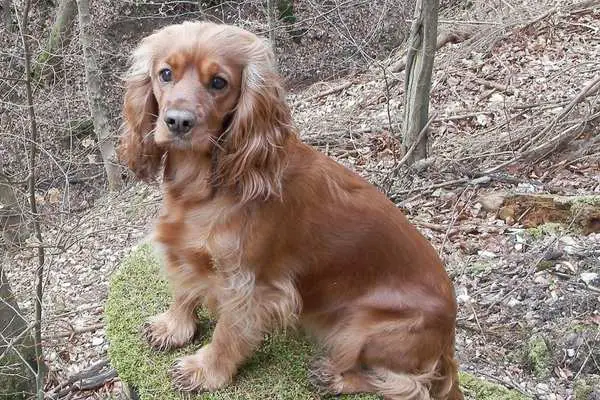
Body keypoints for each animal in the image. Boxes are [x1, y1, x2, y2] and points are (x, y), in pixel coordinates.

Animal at [118, 21, 464, 400]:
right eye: (165, 74)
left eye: (219, 83)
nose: (178, 122)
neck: (205, 183)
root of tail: (448, 340)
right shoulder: (184, 251)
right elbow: (183, 290)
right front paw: (173, 327)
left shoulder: (248, 286)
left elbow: (227, 333)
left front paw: (205, 370)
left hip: (360, 327)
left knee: (408, 384)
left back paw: (335, 377)